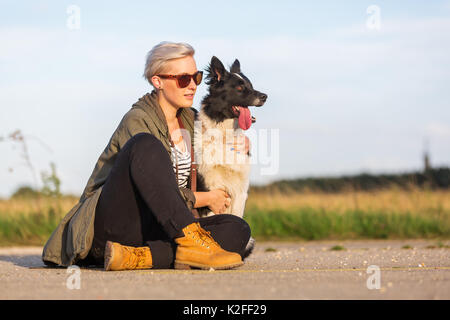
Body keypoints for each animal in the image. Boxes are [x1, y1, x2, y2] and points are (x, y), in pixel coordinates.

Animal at [193, 56, 268, 258]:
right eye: (240, 88)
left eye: (250, 85)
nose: (265, 96)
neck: (224, 136)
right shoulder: (210, 190)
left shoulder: (241, 190)